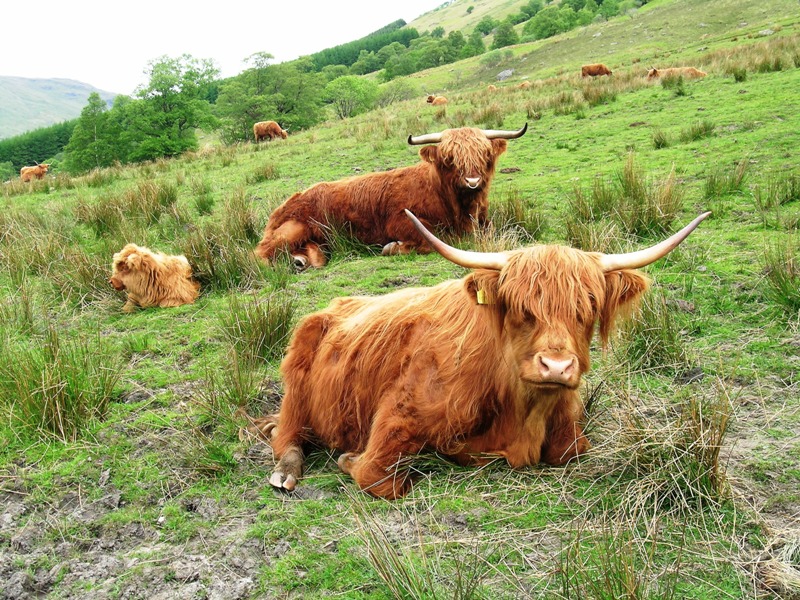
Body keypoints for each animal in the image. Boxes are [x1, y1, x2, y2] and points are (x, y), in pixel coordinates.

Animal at [245, 209, 712, 500]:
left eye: (588, 308)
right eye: (521, 308)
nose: (557, 367)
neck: (521, 407)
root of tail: (334, 304)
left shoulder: (569, 431)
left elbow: (571, 451)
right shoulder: (396, 416)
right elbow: (377, 476)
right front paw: (349, 458)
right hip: (298, 386)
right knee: (286, 434)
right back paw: (286, 472)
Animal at [253, 124, 528, 270]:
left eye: (484, 154)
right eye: (450, 158)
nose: (472, 181)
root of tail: (284, 204)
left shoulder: (484, 222)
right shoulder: (401, 221)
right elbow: (434, 239)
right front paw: (393, 247)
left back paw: (302, 261)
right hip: (292, 230)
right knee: (258, 254)